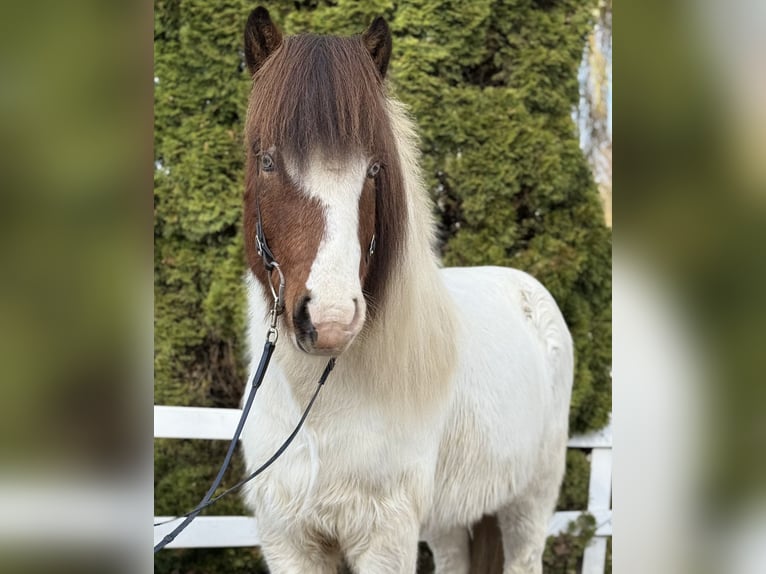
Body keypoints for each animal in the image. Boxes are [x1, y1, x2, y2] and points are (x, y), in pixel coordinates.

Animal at [239, 7, 574, 574]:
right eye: (267, 161)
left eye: (375, 168)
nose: (330, 321)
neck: (316, 411)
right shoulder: (287, 538)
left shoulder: (385, 537)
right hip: (449, 520)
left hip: (529, 503)